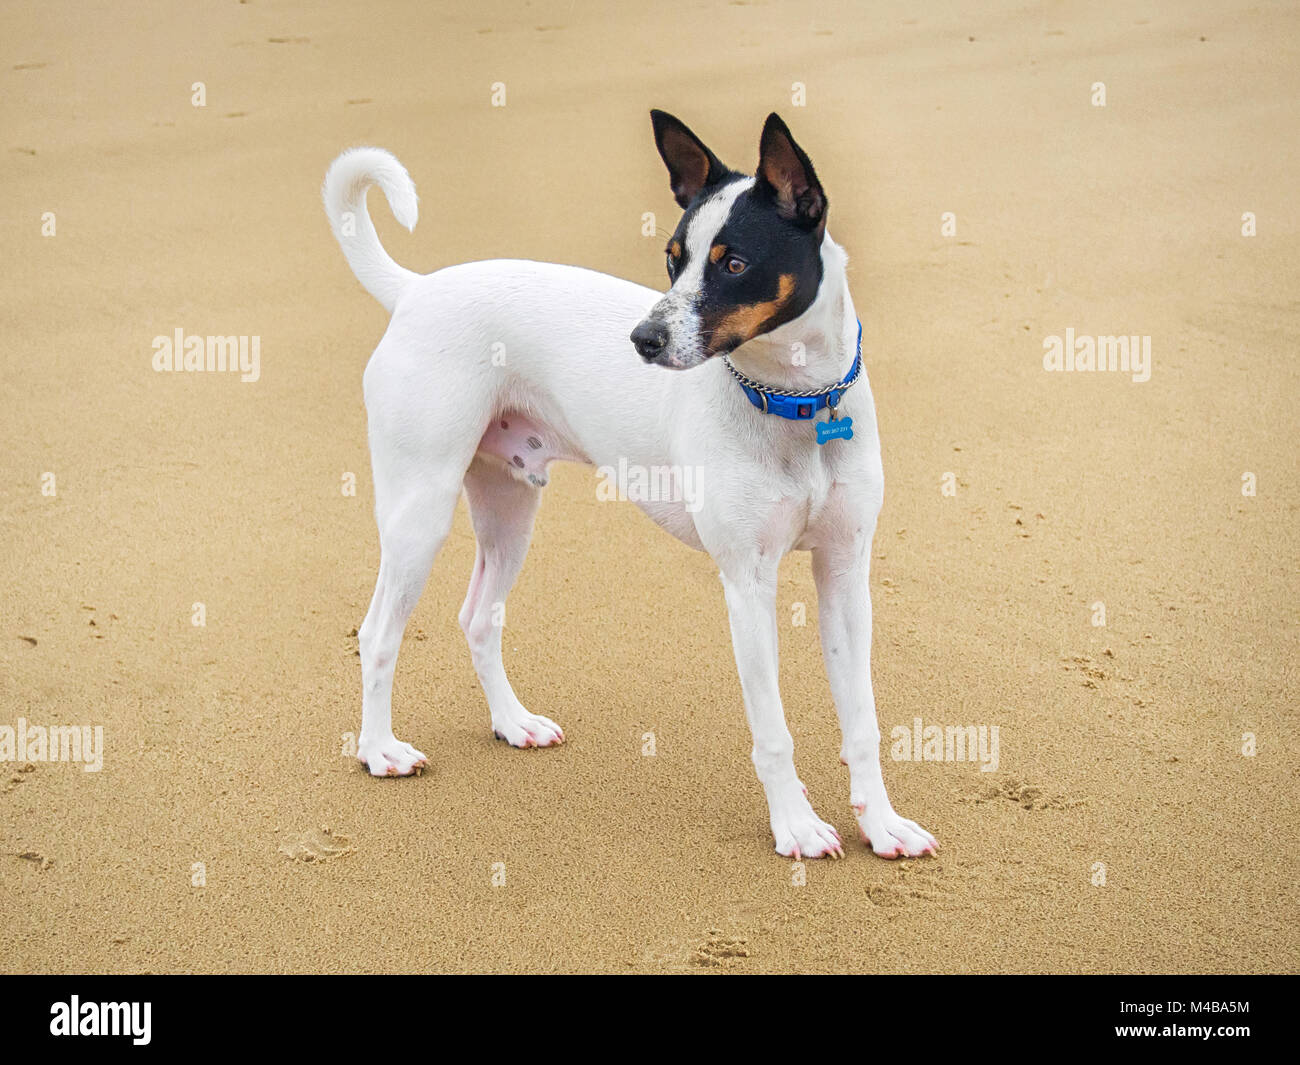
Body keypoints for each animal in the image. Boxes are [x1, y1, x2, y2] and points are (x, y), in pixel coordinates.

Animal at [323, 110, 935, 858]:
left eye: (734, 263)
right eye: (672, 259)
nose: (643, 338)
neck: (796, 404)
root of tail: (416, 290)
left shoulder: (845, 576)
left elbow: (863, 721)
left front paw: (880, 821)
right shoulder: (747, 584)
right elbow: (773, 732)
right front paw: (794, 824)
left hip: (509, 512)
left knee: (478, 617)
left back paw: (513, 722)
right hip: (421, 512)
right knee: (378, 630)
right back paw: (378, 750)